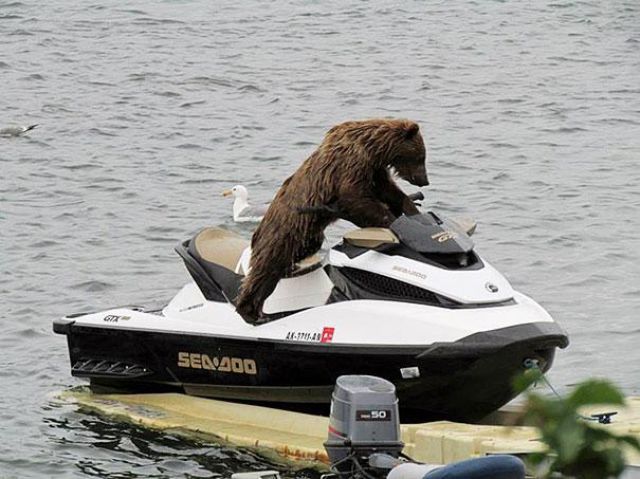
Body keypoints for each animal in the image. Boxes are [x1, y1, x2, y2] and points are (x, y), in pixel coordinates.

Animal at [235, 118, 430, 324]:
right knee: (265, 271)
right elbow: (355, 198)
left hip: (306, 237)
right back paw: (250, 312)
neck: (372, 148)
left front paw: (411, 208)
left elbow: (388, 190)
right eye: (421, 157)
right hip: (281, 235)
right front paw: (391, 221)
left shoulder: (374, 170)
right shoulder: (350, 165)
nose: (424, 180)